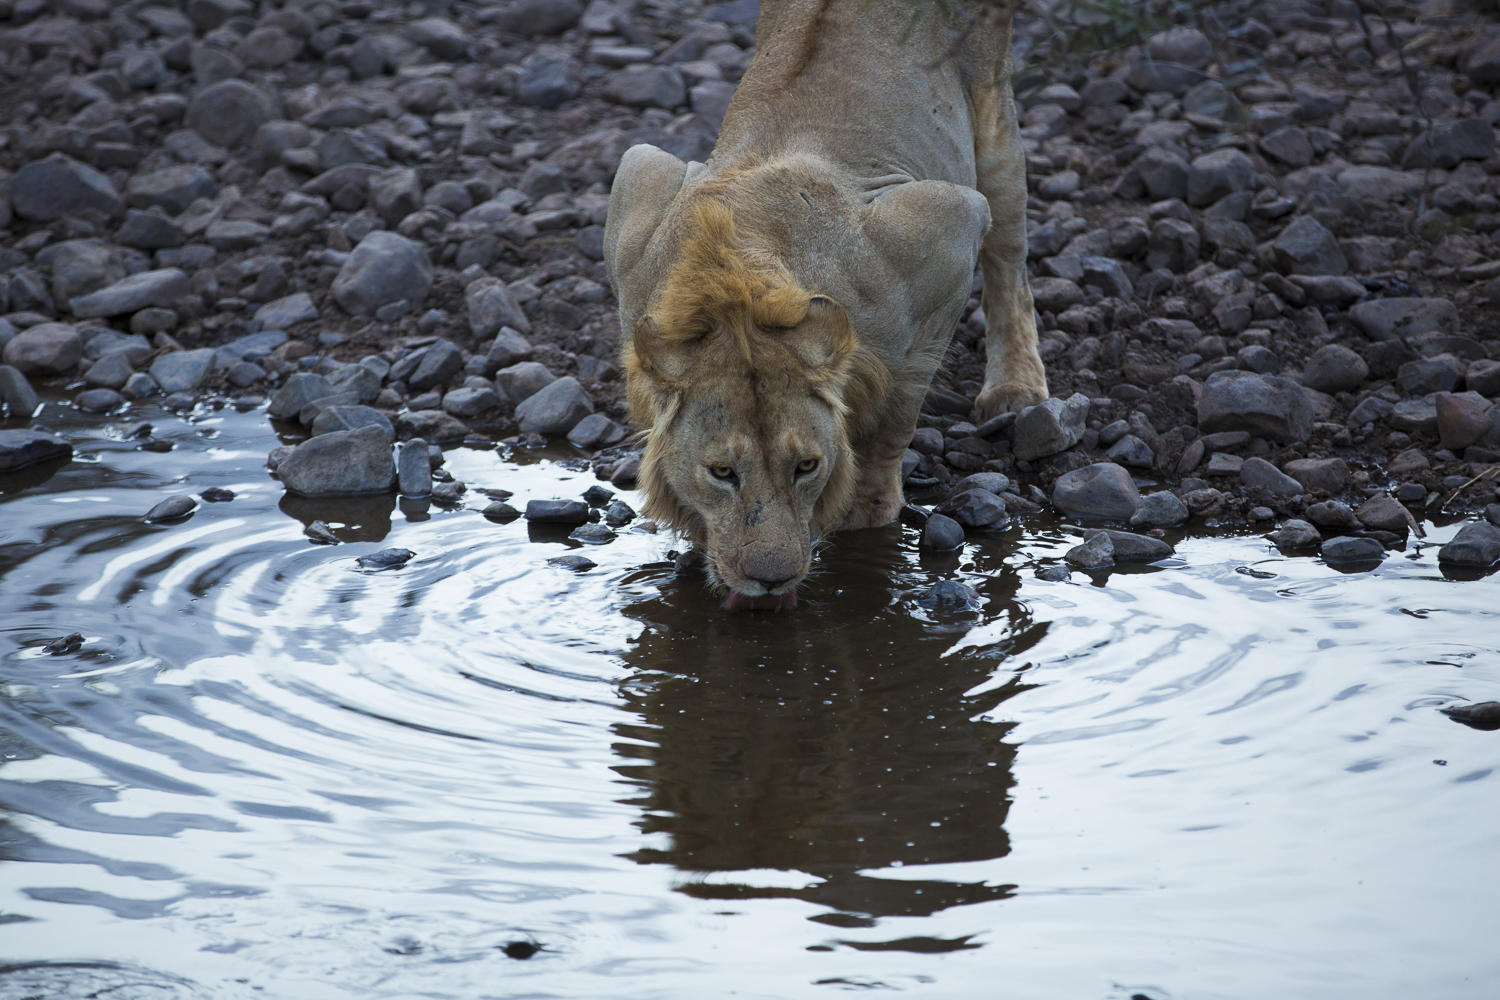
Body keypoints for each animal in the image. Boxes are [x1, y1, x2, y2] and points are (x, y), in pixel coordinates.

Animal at [603, 0, 1048, 611]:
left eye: (806, 467)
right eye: (721, 472)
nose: (771, 579)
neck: (737, 297)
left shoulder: (949, 224)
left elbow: (897, 410)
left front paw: (865, 508)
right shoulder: (639, 179)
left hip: (992, 113)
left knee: (1009, 257)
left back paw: (1016, 388)